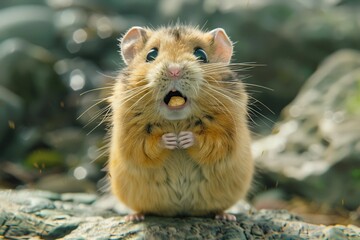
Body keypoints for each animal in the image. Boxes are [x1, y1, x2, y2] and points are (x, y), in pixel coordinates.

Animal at [109, 24, 253, 221]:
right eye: (151, 55)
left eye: (201, 54)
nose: (174, 70)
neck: (176, 120)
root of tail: (180, 212)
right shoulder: (130, 137)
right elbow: (145, 147)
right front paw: (171, 139)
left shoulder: (227, 133)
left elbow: (212, 144)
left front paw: (184, 139)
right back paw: (133, 217)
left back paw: (226, 216)